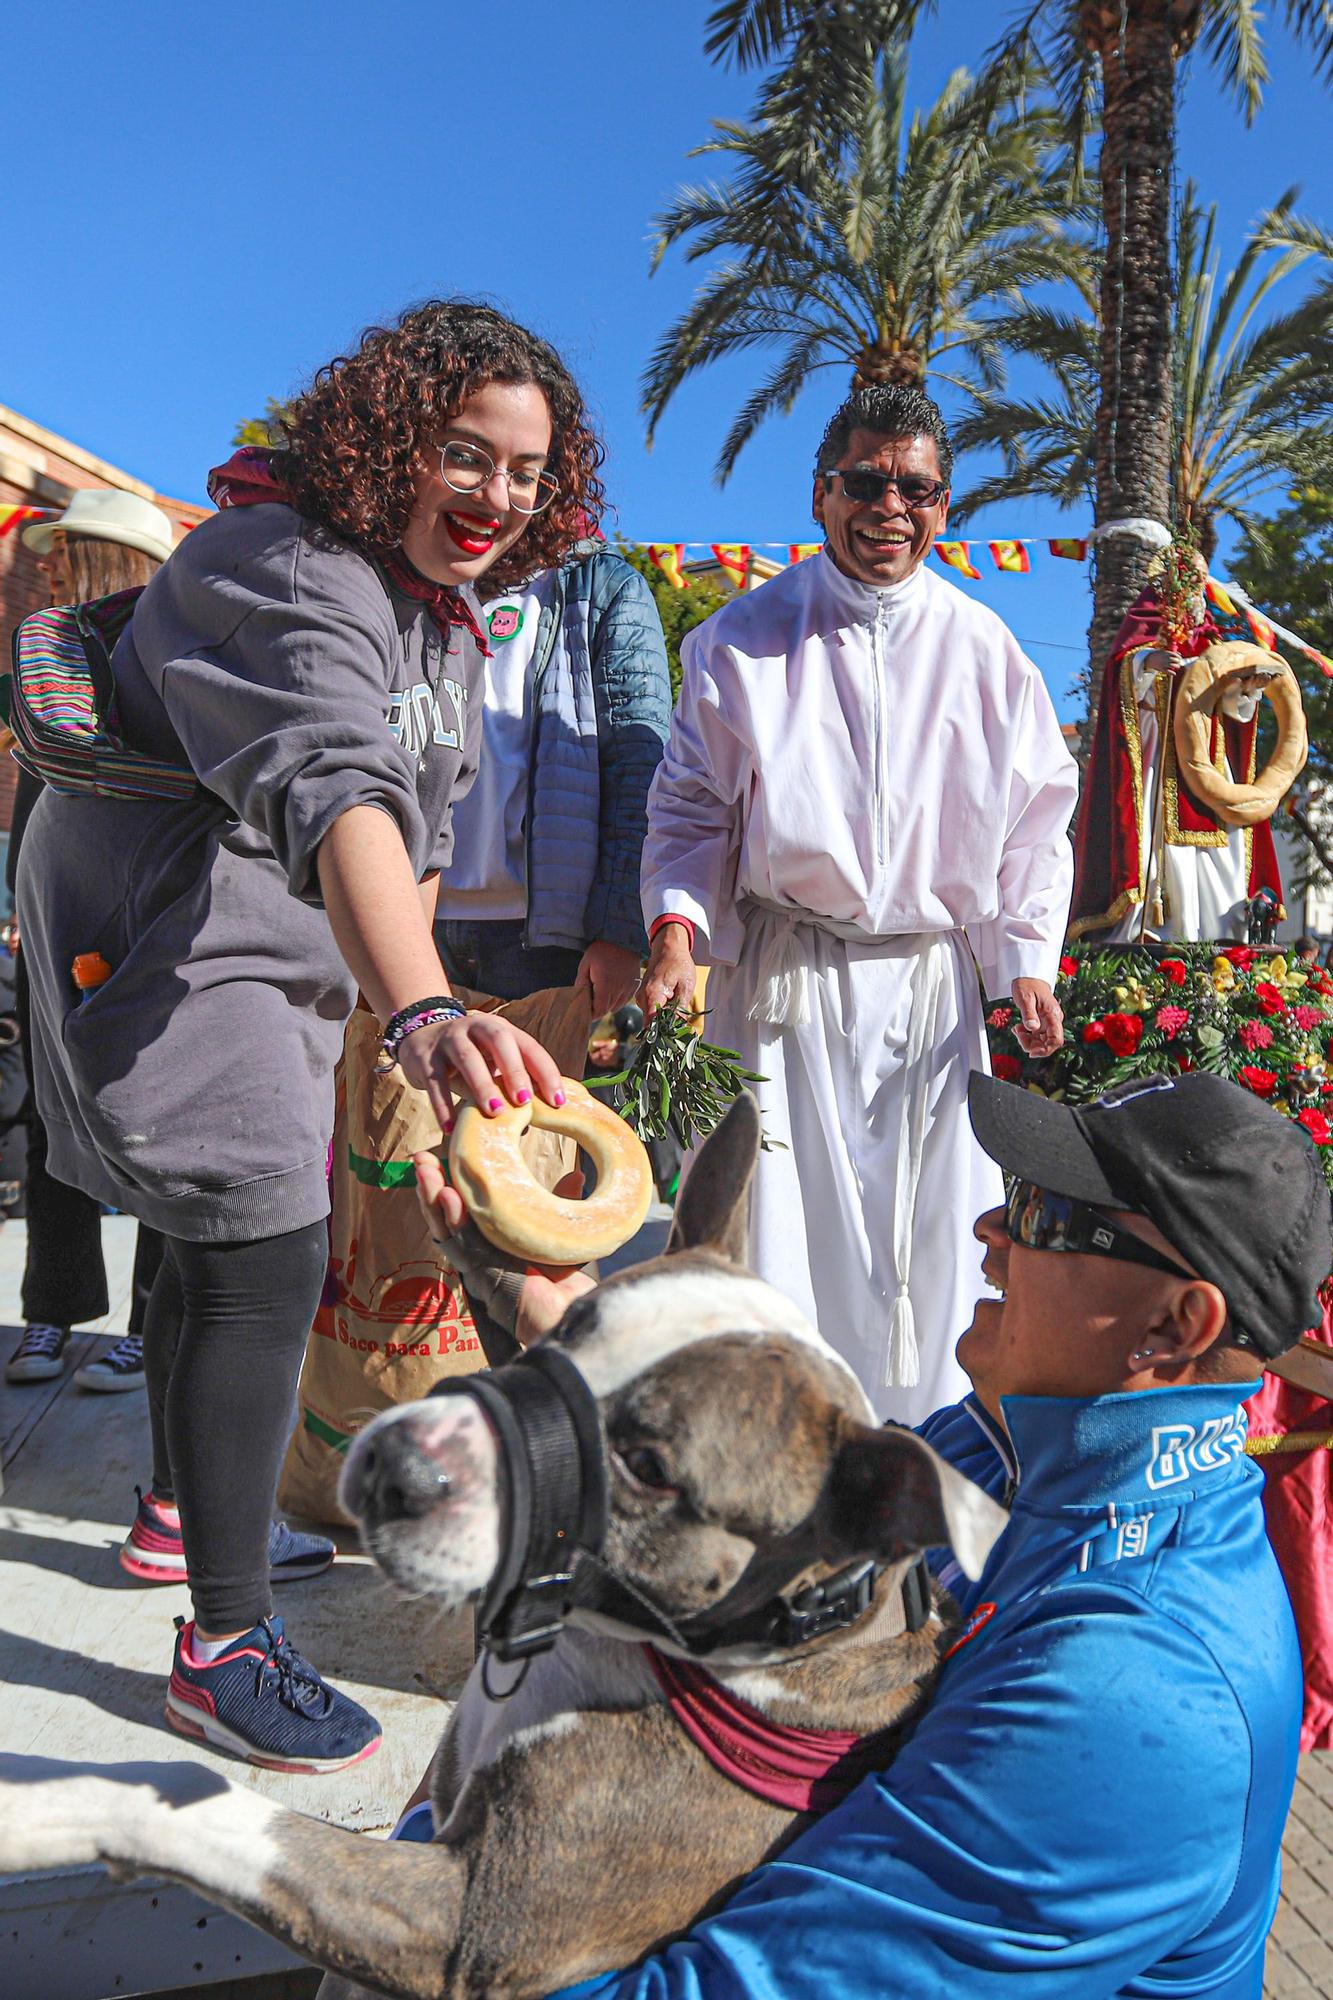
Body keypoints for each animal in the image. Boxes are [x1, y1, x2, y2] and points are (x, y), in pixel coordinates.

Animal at [0, 1104, 996, 1992]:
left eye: (648, 1467)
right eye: (573, 1329)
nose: (397, 1464)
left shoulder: (472, 1923)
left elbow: (206, 1804)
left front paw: (34, 1810)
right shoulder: (438, 1797)